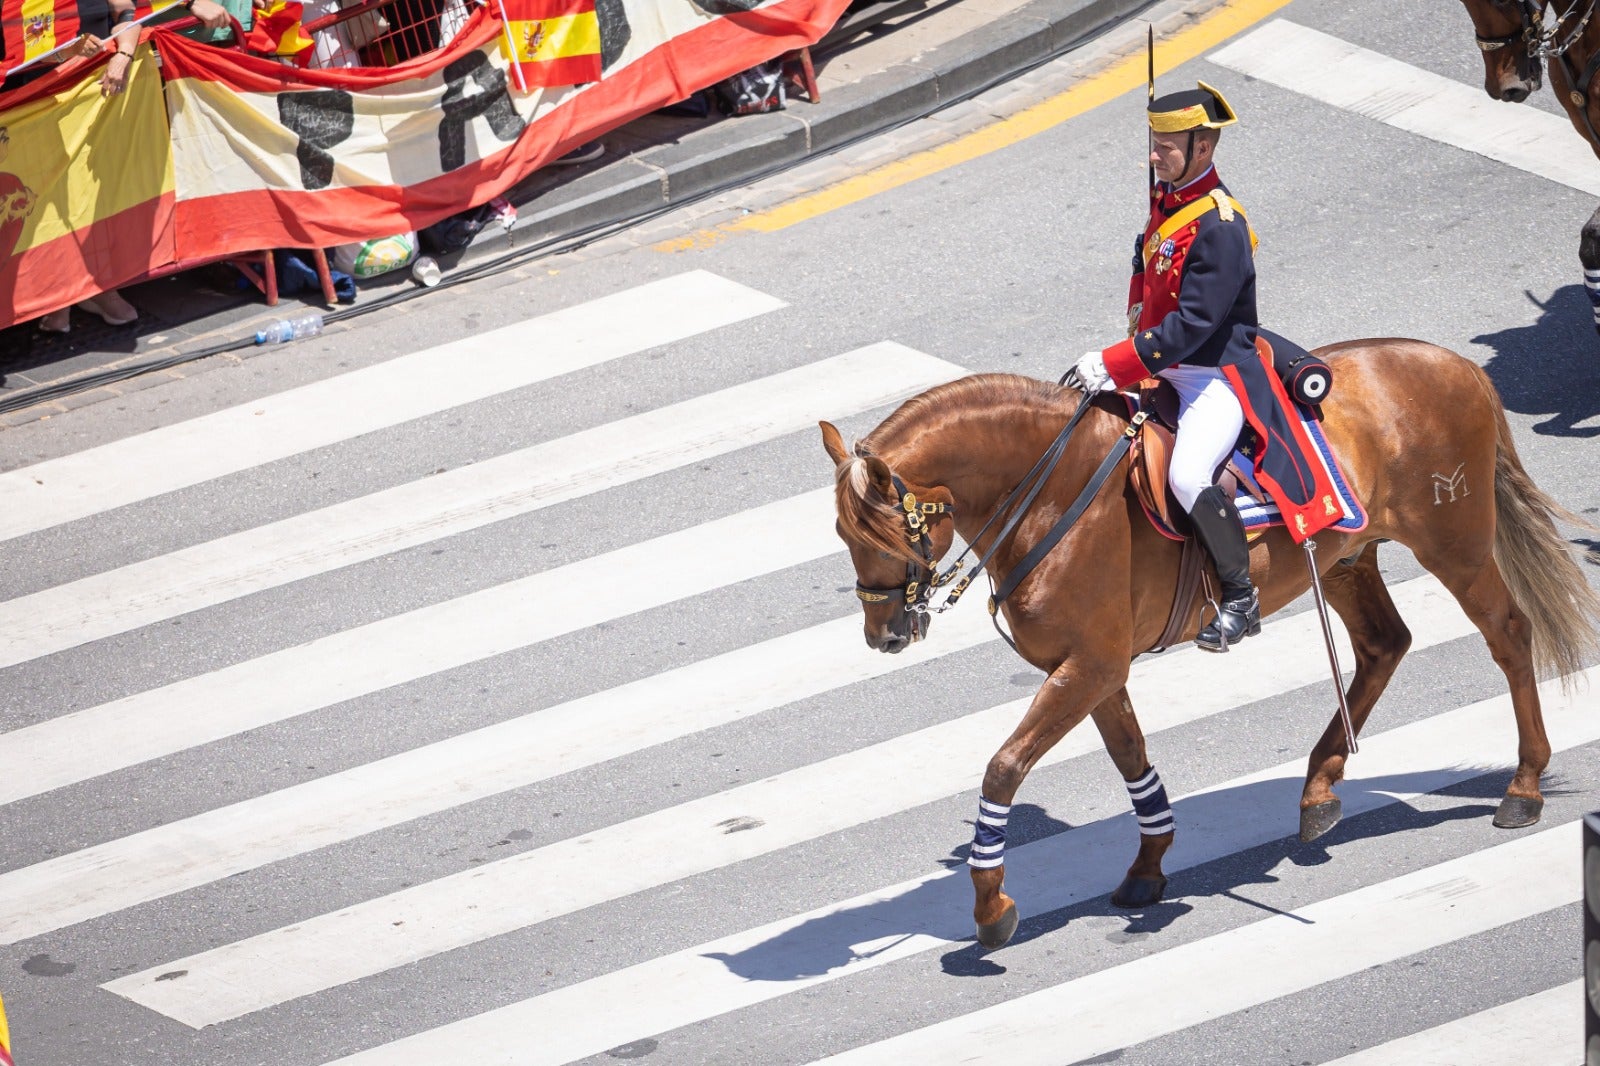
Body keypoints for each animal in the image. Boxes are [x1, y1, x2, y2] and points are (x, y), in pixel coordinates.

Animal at [825, 340, 1600, 947]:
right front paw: (1149, 865)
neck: (1052, 488)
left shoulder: (1088, 665)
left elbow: (1003, 769)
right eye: (842, 534)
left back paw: (1523, 785)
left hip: (1455, 546)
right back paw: (1319, 789)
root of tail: (1455, 361)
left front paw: (992, 906)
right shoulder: (1094, 668)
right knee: (1385, 645)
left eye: (887, 533)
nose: (882, 635)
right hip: (1348, 556)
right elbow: (1130, 755)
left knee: (1509, 636)